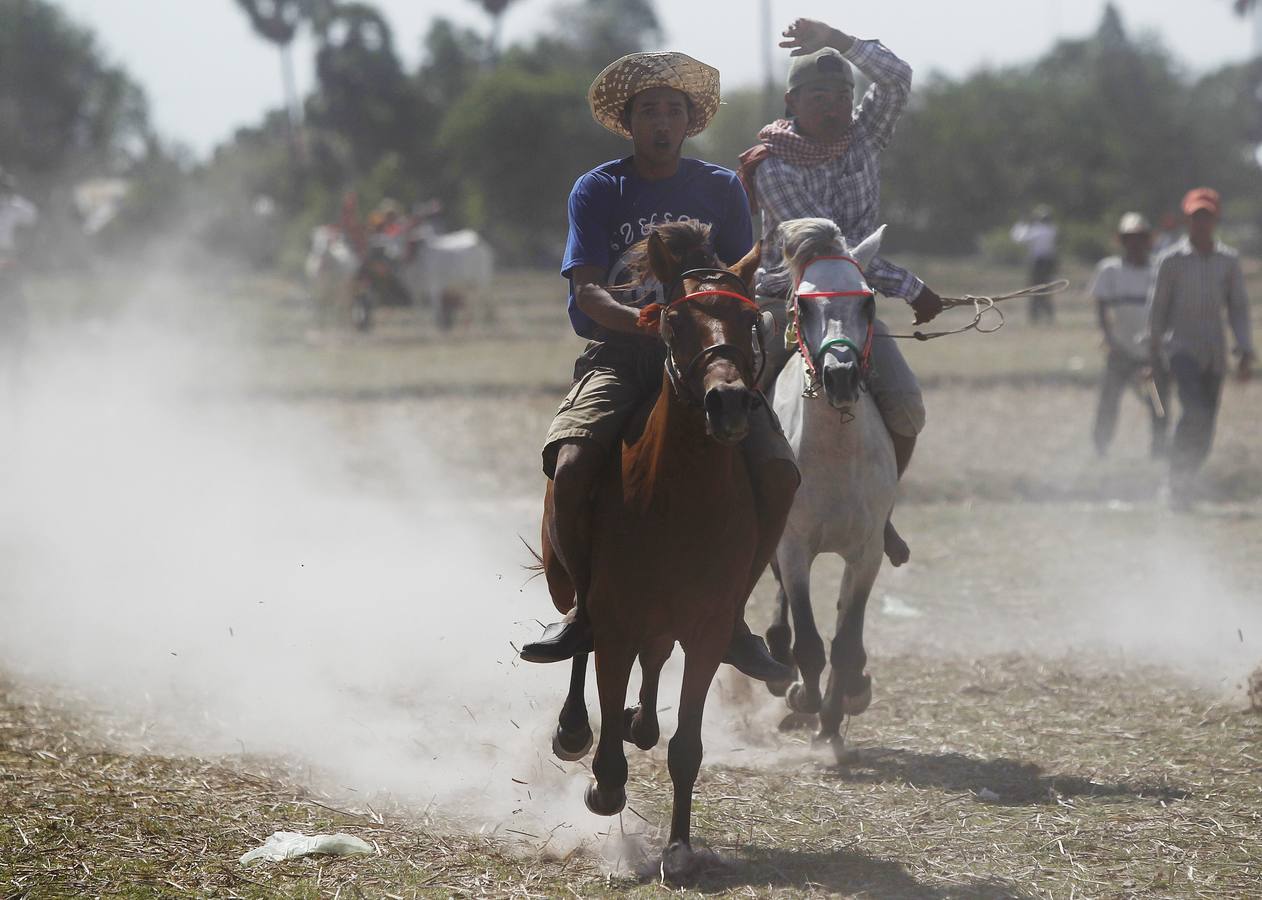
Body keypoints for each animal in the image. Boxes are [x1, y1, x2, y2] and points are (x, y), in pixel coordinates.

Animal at [540, 223, 757, 878]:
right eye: (675, 322)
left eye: (752, 319)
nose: (728, 402)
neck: (679, 500)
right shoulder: (616, 619)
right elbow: (603, 682)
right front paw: (606, 783)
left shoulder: (708, 630)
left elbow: (687, 745)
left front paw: (680, 848)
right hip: (578, 583)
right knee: (580, 640)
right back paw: (574, 727)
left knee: (655, 659)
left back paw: (642, 720)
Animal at [762, 219, 903, 757]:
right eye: (803, 305)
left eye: (867, 301)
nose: (840, 375)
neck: (837, 456)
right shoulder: (794, 548)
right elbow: (810, 641)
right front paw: (805, 698)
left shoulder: (866, 553)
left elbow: (846, 641)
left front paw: (833, 717)